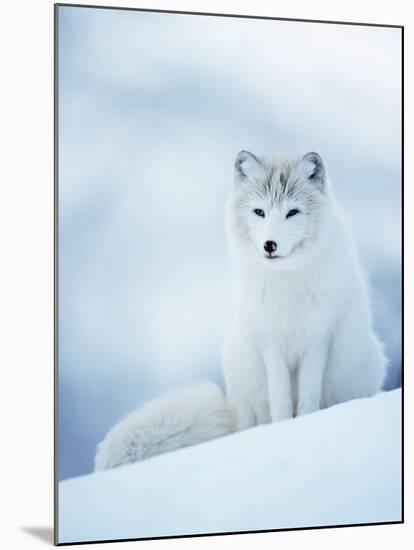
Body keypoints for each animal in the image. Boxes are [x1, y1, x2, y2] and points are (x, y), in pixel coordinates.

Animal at [94, 152, 384, 474]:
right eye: (259, 212)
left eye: (292, 213)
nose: (270, 244)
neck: (286, 284)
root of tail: (229, 407)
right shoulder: (269, 340)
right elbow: (280, 396)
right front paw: (283, 429)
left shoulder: (317, 338)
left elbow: (308, 394)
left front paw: (305, 424)